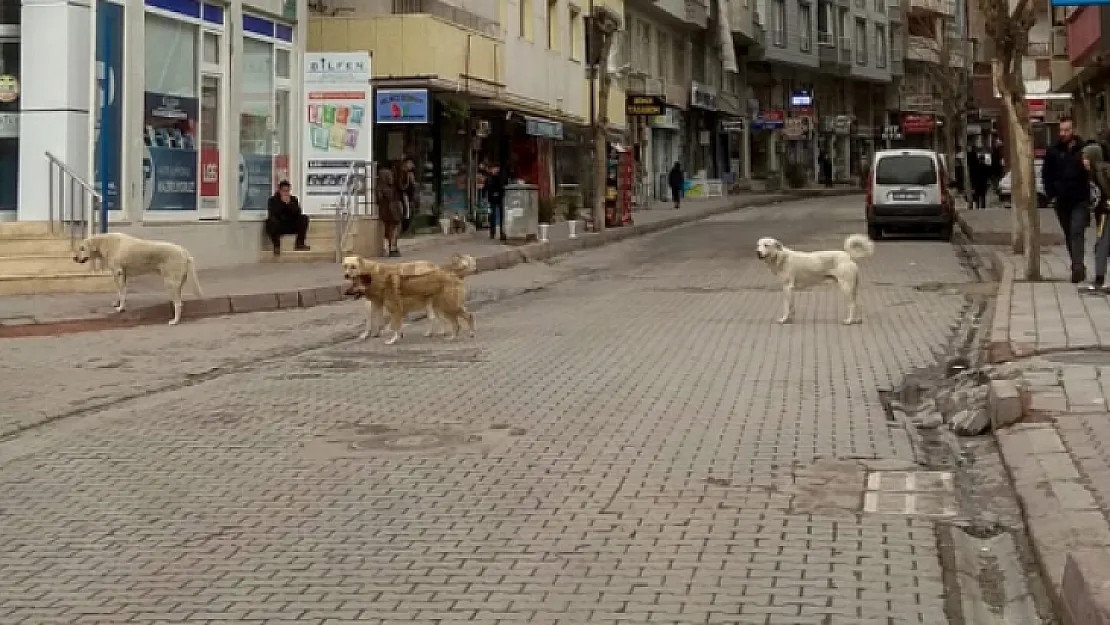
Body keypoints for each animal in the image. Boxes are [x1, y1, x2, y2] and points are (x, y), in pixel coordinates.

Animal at [73, 232, 204, 326]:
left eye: (82, 248)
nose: (74, 258)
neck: (105, 242)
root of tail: (184, 251)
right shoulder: (122, 275)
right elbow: (120, 291)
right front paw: (118, 303)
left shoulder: (118, 273)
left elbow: (121, 292)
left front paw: (121, 308)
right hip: (176, 283)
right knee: (179, 301)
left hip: (170, 282)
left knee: (178, 304)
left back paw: (175, 321)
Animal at [339, 251, 475, 344]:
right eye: (345, 266)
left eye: (353, 266)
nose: (346, 275)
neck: (372, 273)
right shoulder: (377, 303)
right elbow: (378, 320)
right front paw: (377, 333)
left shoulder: (381, 305)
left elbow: (380, 321)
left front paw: (380, 334)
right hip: (437, 303)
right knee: (439, 318)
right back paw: (438, 332)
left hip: (443, 303)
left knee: (451, 317)